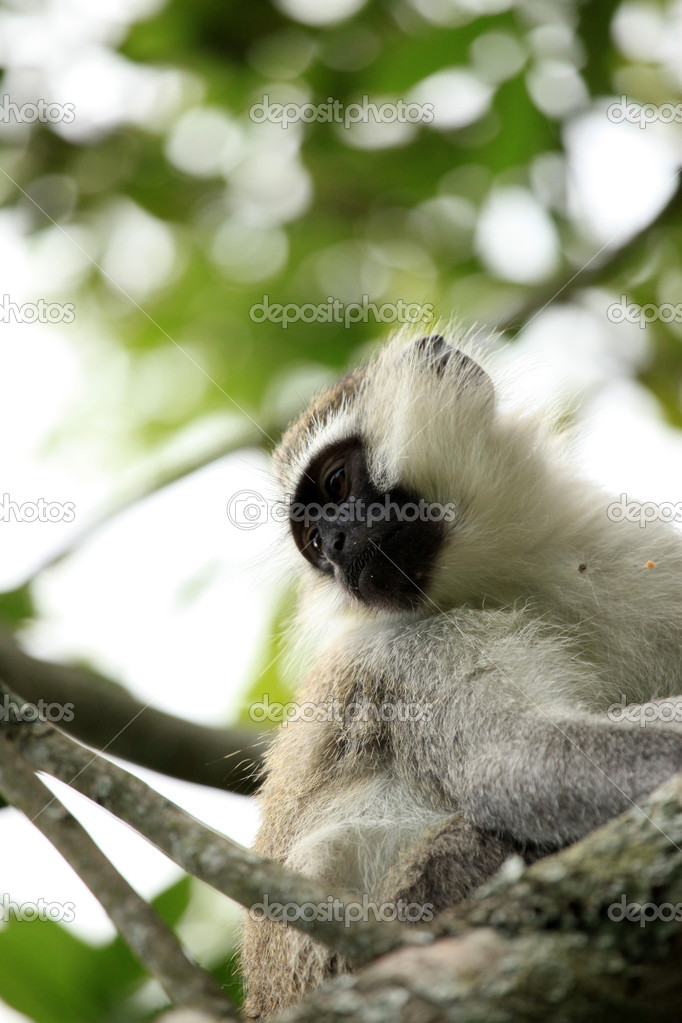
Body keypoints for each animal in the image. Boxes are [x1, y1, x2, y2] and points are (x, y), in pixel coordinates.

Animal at [240, 326, 682, 1020]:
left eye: (336, 483)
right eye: (312, 541)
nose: (334, 547)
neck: (512, 575)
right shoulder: (410, 652)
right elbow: (519, 760)